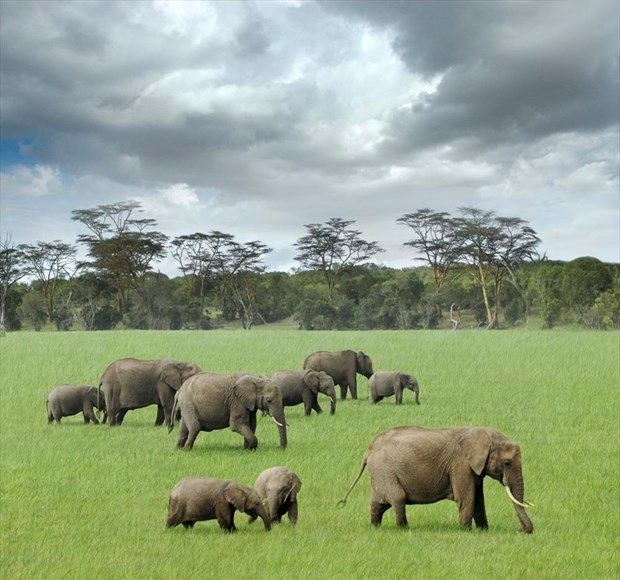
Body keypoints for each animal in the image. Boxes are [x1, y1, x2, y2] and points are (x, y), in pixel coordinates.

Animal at [340, 426, 532, 536]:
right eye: (507, 463)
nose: (520, 531)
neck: (485, 435)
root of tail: (368, 451)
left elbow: (478, 500)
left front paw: (483, 531)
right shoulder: (460, 464)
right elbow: (466, 498)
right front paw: (466, 532)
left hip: (380, 473)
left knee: (378, 504)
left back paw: (375, 527)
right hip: (385, 471)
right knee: (398, 498)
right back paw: (404, 530)